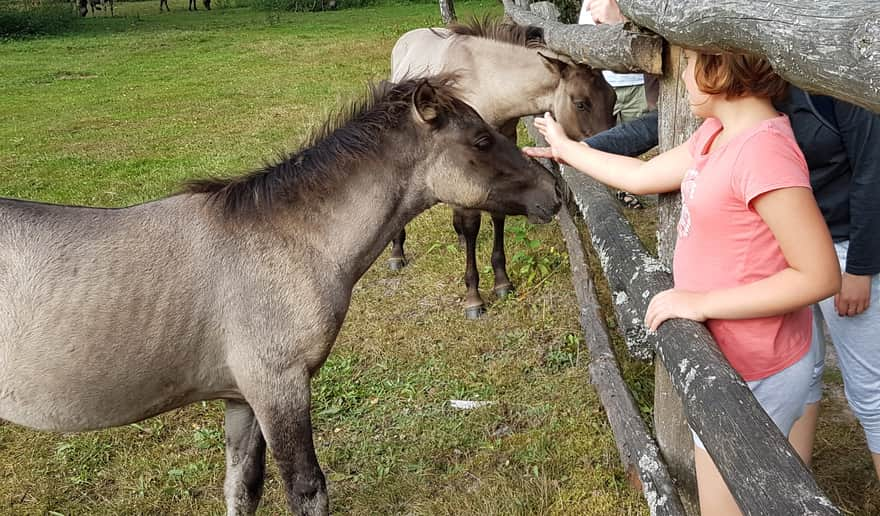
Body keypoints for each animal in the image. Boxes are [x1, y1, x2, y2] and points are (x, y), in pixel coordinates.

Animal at [0, 76, 560, 516]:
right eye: (482, 140)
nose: (553, 192)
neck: (286, 239)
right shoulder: (280, 386)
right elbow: (307, 490)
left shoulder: (240, 396)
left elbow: (241, 488)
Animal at [388, 17, 616, 318]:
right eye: (581, 103)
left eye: (613, 98)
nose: (608, 157)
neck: (486, 85)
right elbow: (472, 224)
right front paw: (473, 296)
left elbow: (497, 216)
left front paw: (502, 281)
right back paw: (397, 252)